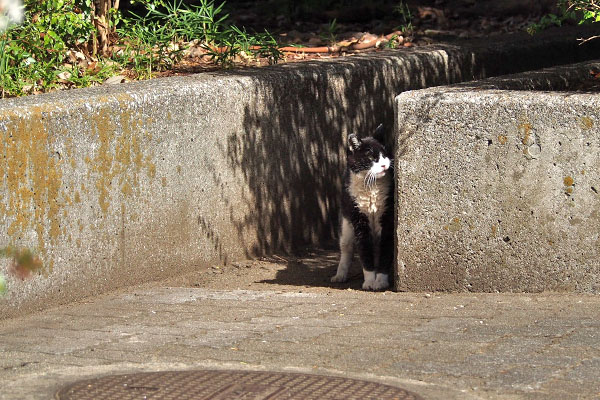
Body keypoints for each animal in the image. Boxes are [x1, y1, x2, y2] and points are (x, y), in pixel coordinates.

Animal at [328, 127, 394, 290]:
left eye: (384, 155)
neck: (371, 187)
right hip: (345, 224)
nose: (384, 165)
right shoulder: (358, 220)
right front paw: (369, 282)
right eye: (370, 157)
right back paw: (339, 276)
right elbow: (365, 251)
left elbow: (385, 251)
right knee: (346, 250)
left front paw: (381, 281)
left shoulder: (388, 219)